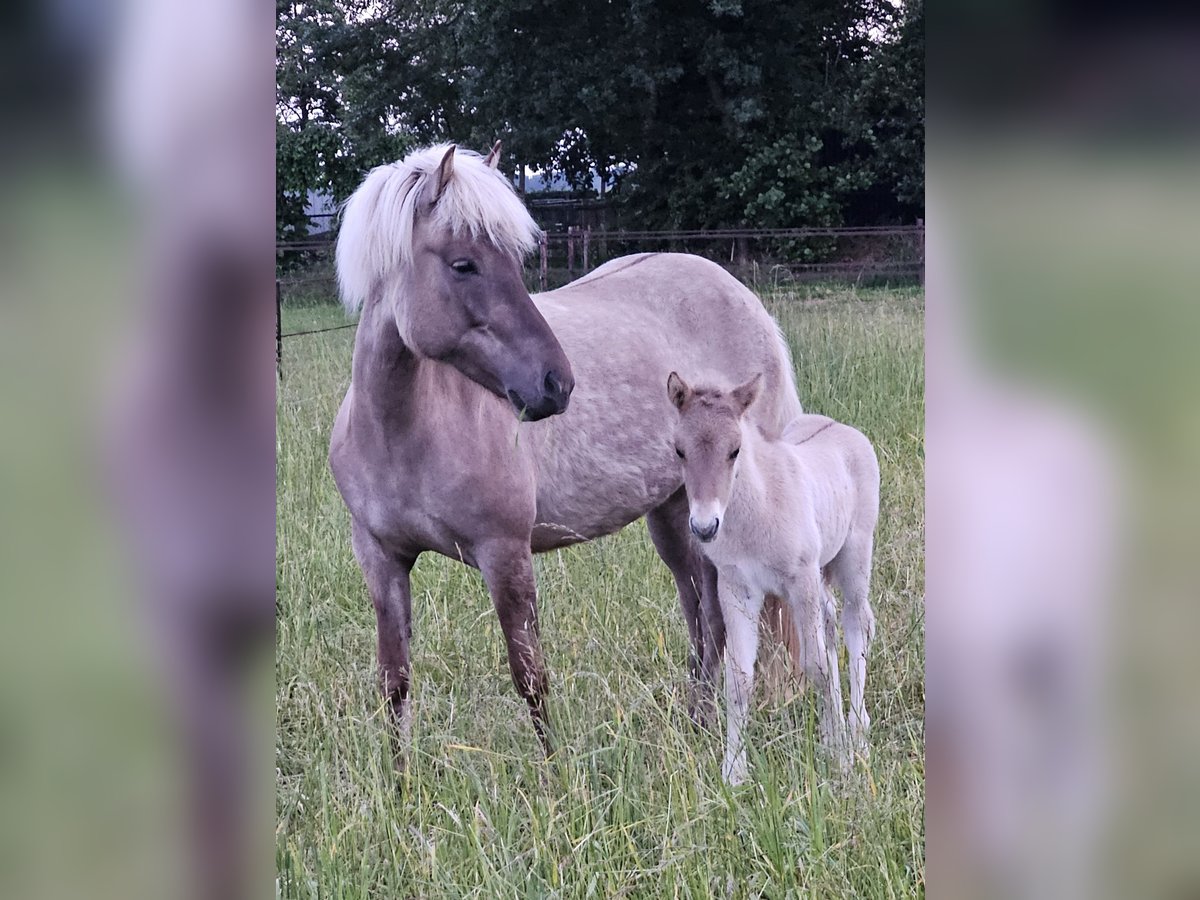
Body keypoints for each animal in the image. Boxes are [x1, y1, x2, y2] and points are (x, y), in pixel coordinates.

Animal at [328, 144, 801, 758]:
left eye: (516, 261)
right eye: (463, 264)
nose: (557, 384)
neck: (402, 433)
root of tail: (744, 298)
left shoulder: (505, 554)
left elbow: (529, 675)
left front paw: (552, 774)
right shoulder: (380, 558)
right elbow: (396, 680)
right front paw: (401, 777)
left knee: (723, 622)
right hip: (677, 515)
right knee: (703, 620)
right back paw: (695, 728)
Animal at [667, 372, 883, 782]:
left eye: (734, 450)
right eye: (679, 450)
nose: (704, 527)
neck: (758, 509)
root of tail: (842, 427)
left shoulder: (800, 581)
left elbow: (816, 666)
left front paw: (840, 761)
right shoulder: (736, 587)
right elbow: (738, 679)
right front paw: (733, 772)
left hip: (854, 556)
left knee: (856, 623)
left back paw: (858, 733)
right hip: (820, 573)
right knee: (830, 623)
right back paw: (838, 731)